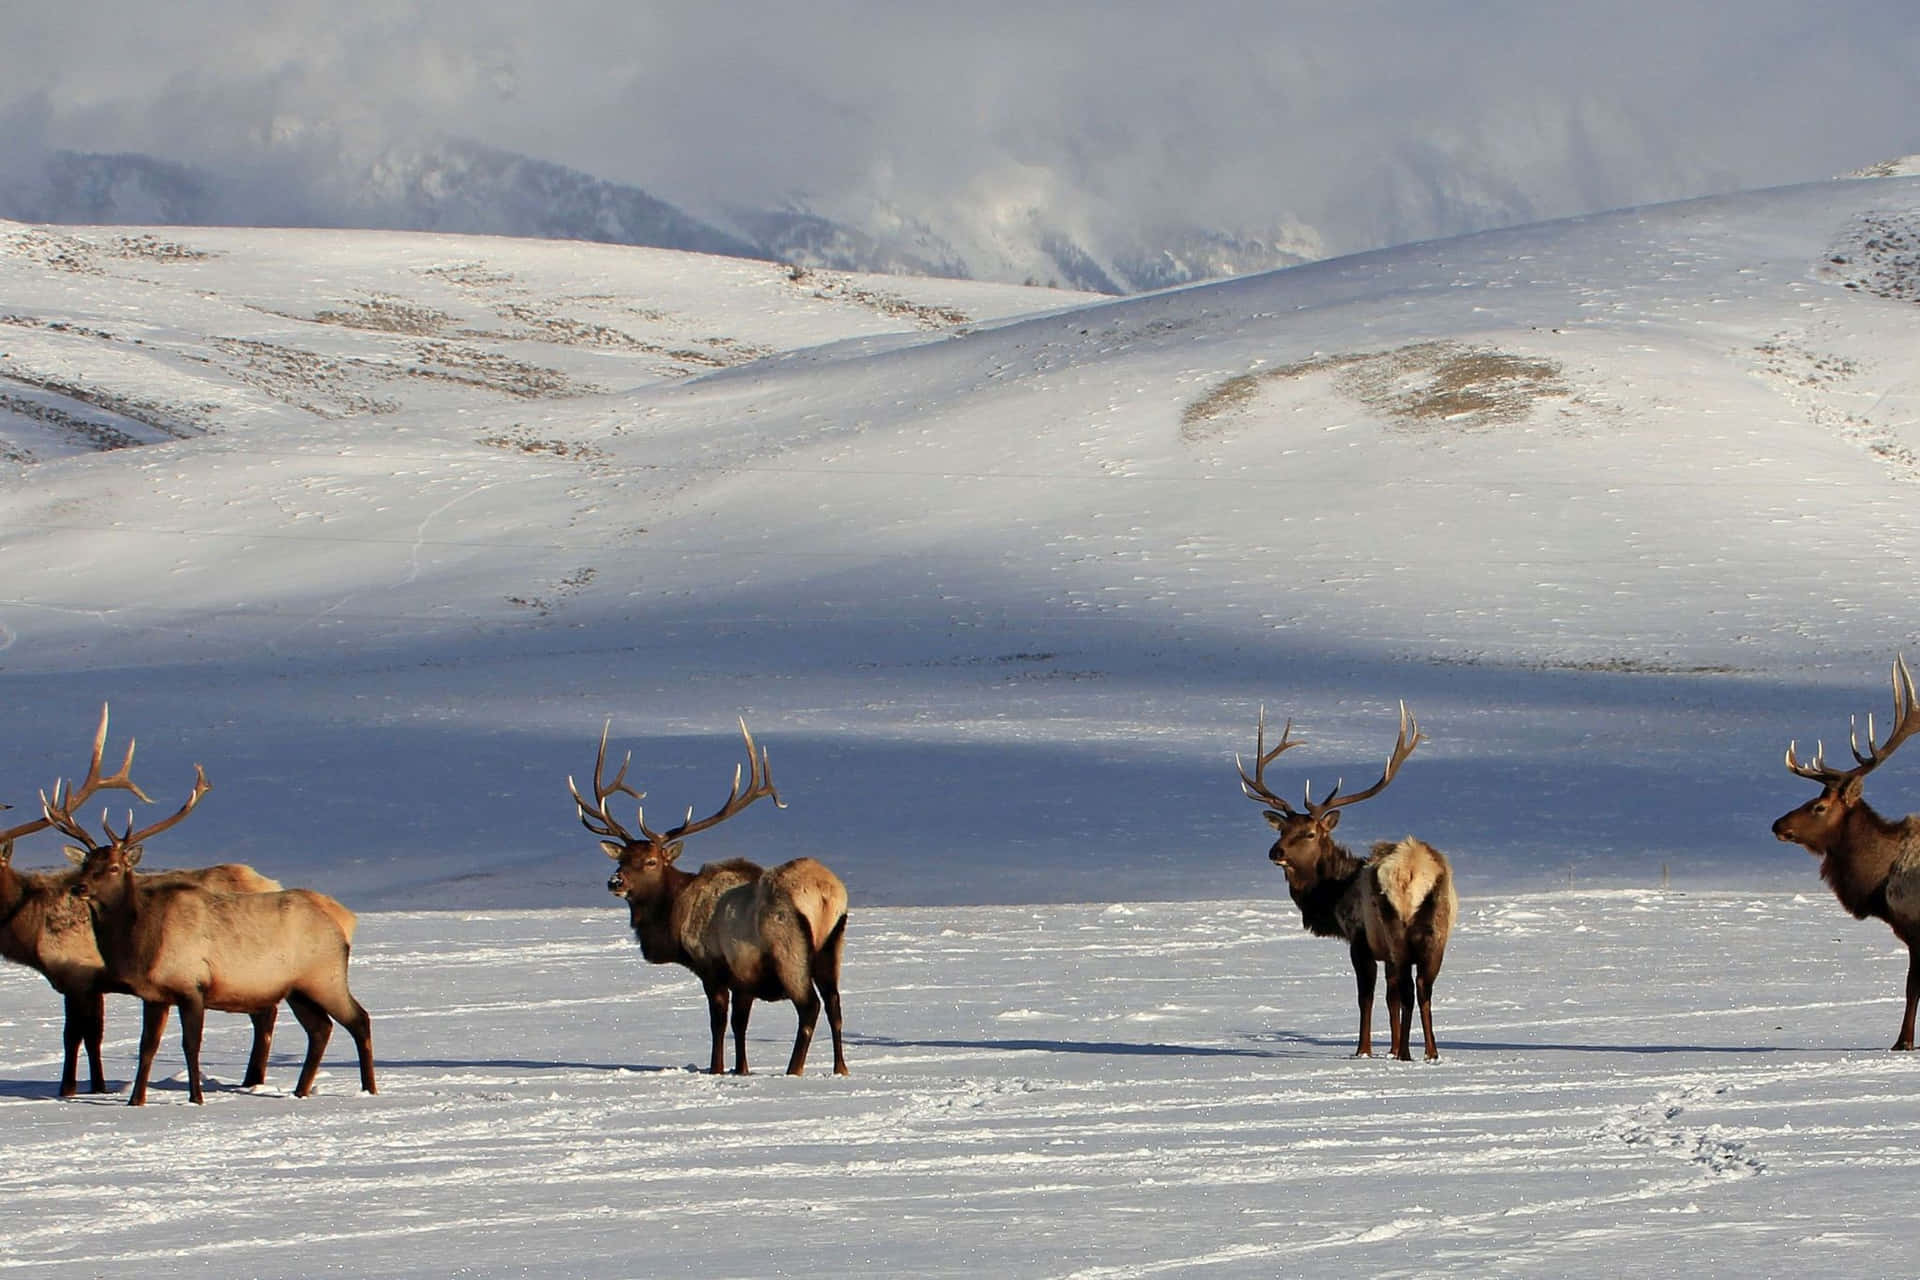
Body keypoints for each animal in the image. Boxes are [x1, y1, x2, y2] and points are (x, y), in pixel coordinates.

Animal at [0, 706, 280, 1097]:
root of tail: (272, 881)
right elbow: (94, 1038)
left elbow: (74, 1037)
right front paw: (98, 1086)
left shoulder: (77, 976)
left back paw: (252, 1080)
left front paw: (68, 1090)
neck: (30, 928)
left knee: (265, 1015)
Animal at [59, 767, 374, 1105]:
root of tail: (342, 924)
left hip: (325, 976)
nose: (78, 887)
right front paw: (135, 1100)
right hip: (297, 988)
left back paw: (369, 1088)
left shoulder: (192, 985)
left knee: (359, 1019)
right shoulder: (154, 995)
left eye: (115, 867)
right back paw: (300, 1091)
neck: (142, 945)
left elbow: (191, 1045)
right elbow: (147, 1047)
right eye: (86, 863)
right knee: (320, 1029)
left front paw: (196, 1098)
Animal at [572, 721, 852, 1082]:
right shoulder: (744, 976)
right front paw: (741, 1070)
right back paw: (840, 1068)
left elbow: (719, 1023)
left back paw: (793, 1070)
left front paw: (716, 1068)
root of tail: (825, 894)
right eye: (621, 860)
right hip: (833, 944)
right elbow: (740, 1025)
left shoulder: (713, 966)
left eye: (651, 861)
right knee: (835, 1004)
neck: (674, 918)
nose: (615, 882)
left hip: (788, 947)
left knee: (810, 1006)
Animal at [1244, 702, 1451, 1059]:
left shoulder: (1360, 939)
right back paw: (1430, 1053)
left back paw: (1408, 1053)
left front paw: (1364, 1050)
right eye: (1282, 829)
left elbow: (1367, 996)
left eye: (1310, 833)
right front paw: (1390, 1048)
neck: (1334, 893)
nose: (1275, 852)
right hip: (1438, 930)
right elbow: (1389, 998)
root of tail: (1414, 869)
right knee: (1424, 988)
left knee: (1409, 990)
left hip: (1394, 928)